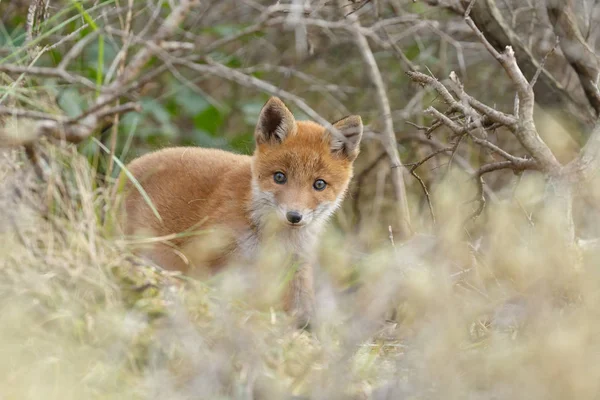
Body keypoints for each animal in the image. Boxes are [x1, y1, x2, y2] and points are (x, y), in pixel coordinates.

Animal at [123, 97, 360, 324]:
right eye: (279, 177)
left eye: (319, 184)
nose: (294, 216)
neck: (274, 239)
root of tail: (127, 169)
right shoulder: (212, 256)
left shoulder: (297, 265)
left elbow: (302, 312)